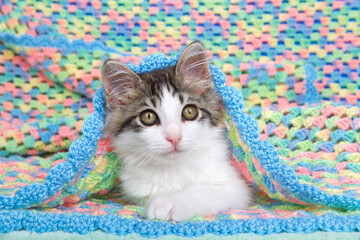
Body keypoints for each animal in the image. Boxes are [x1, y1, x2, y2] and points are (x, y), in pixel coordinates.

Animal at [100, 41, 250, 221]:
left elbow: (201, 190)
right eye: (148, 117)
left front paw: (169, 202)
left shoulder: (235, 187)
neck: (173, 170)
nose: (174, 137)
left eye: (189, 112)